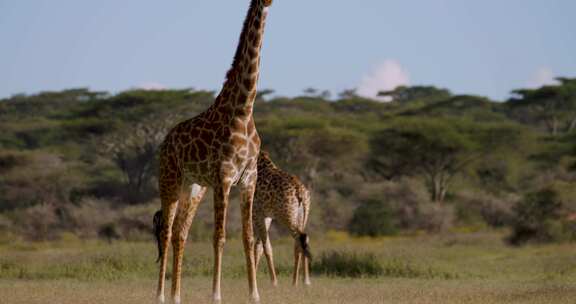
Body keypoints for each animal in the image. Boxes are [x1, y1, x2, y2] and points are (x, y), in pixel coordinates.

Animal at [155, 1, 274, 302]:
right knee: (166, 231)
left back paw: (176, 295)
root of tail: (166, 141)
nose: (269, 3)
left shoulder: (248, 179)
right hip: (169, 181)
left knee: (180, 233)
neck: (243, 110)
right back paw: (160, 295)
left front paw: (255, 294)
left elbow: (247, 237)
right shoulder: (224, 178)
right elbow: (219, 237)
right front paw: (216, 294)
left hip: (194, 187)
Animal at [254, 152, 312, 288]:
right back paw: (302, 281)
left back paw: (297, 282)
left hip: (286, 217)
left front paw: (274, 282)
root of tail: (300, 191)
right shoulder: (266, 216)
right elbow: (259, 246)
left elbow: (265, 247)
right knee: (302, 240)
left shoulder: (257, 213)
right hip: (301, 217)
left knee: (300, 239)